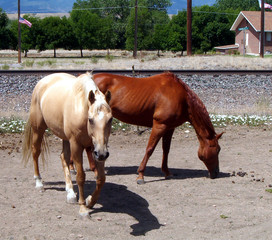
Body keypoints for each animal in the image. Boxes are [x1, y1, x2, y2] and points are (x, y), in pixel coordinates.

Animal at [21, 72, 112, 217]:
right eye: (90, 120)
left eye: (110, 119)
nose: (103, 154)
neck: (81, 108)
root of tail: (43, 81)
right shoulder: (77, 145)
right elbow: (80, 177)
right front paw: (83, 208)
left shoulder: (97, 147)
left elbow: (101, 178)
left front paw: (90, 201)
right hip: (38, 129)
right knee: (35, 152)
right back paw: (39, 182)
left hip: (66, 139)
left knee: (64, 157)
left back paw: (70, 193)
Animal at [91, 71, 223, 184]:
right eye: (217, 150)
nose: (216, 173)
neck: (181, 97)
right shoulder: (160, 126)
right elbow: (150, 149)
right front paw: (141, 175)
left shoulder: (169, 128)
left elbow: (166, 150)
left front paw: (167, 172)